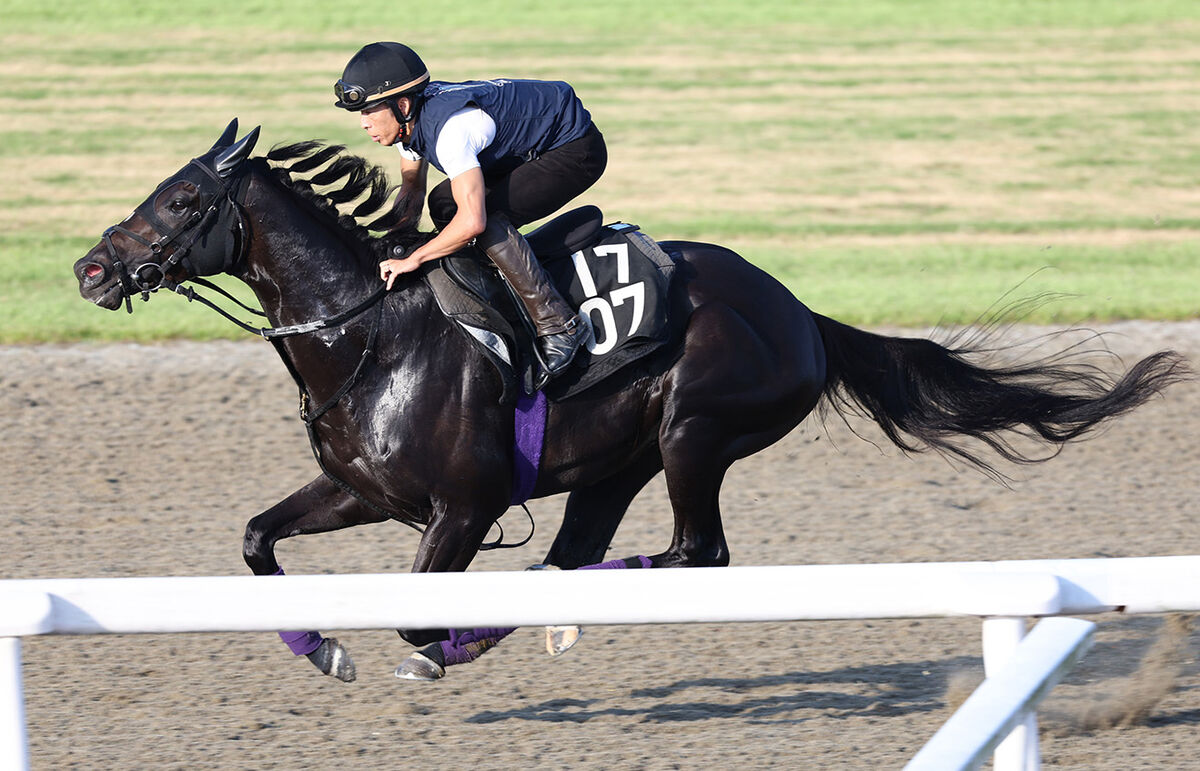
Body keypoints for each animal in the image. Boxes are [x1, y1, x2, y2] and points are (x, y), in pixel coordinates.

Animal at [77, 121, 1190, 677]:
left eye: (183, 199)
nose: (91, 268)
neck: (369, 335)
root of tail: (802, 311)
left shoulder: (463, 507)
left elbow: (417, 621)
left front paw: (439, 647)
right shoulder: (363, 492)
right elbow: (258, 541)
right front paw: (322, 649)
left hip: (695, 427)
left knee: (696, 553)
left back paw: (553, 615)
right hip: (616, 462)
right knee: (583, 555)